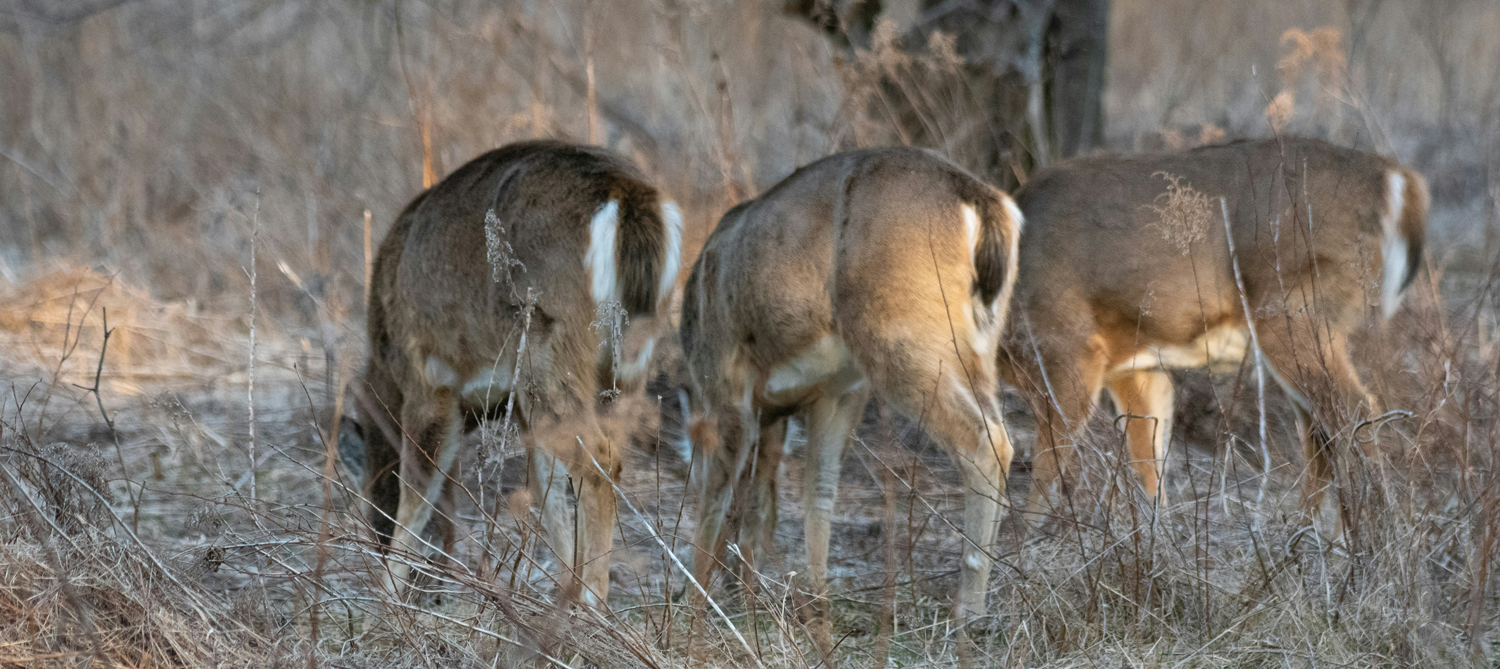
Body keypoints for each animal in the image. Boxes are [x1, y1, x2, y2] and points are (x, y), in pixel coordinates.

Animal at [339, 140, 683, 607]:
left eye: (376, 490)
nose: (376, 537)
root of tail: (628, 194)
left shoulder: (430, 374)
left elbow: (420, 481)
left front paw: (387, 594)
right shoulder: (517, 402)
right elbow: (547, 488)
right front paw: (563, 587)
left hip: (551, 343)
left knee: (599, 461)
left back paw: (593, 602)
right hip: (627, 361)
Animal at [679, 147, 1024, 643]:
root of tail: (987, 202)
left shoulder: (727, 384)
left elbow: (716, 500)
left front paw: (692, 611)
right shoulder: (833, 395)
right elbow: (805, 494)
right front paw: (810, 606)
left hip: (901, 332)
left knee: (984, 441)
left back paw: (969, 612)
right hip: (978, 347)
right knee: (1000, 433)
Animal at [997, 137, 1429, 536]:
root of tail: (1401, 181)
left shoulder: (1068, 349)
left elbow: (1049, 462)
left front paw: (1025, 541)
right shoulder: (1133, 366)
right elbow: (1147, 458)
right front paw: (1158, 538)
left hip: (1296, 310)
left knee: (1354, 410)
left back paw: (1370, 535)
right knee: (1318, 427)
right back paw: (1304, 535)